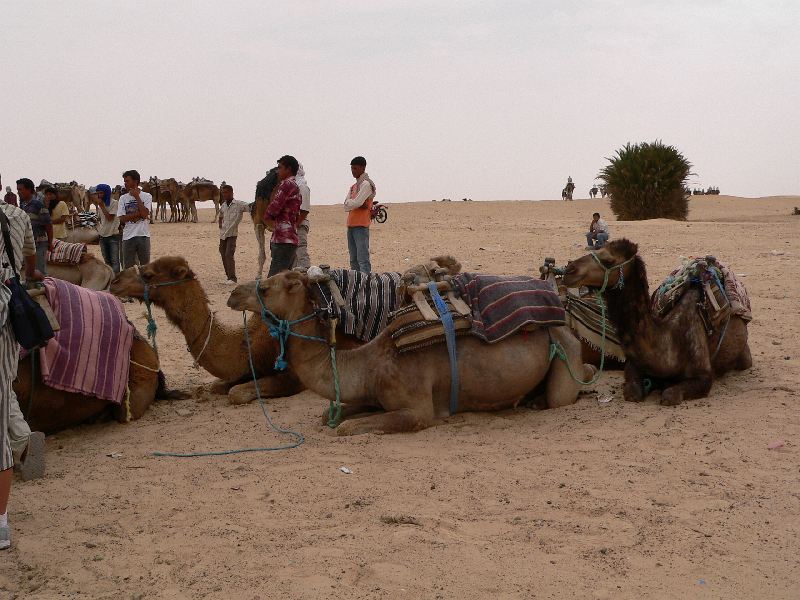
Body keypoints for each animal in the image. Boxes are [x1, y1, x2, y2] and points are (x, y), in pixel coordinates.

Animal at [227, 271, 595, 435]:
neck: (370, 363)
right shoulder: (373, 394)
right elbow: (329, 414)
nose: (233, 294)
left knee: (564, 394)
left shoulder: (418, 411)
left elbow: (346, 428)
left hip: (565, 350)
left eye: (264, 288)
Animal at [562, 239, 752, 406]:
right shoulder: (634, 364)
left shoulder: (704, 375)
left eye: (608, 260)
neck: (668, 338)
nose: (569, 269)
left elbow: (669, 394)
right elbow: (631, 392)